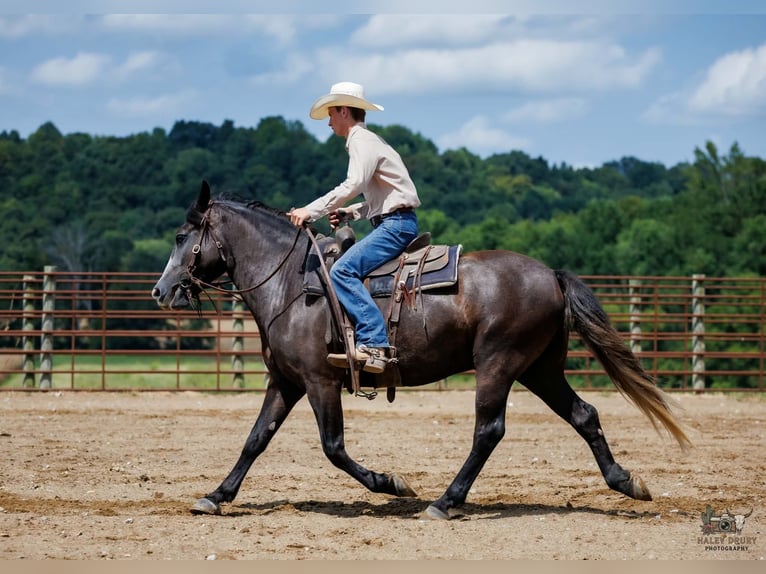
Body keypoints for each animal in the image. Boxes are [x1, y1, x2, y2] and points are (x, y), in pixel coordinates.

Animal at [151, 180, 691, 520]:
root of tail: (550, 275)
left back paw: (445, 502)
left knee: (489, 430)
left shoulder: (320, 381)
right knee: (583, 415)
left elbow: (333, 447)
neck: (289, 283)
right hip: (539, 369)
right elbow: (255, 439)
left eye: (180, 237)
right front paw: (216, 495)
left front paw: (392, 483)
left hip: (499, 364)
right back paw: (625, 481)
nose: (161, 291)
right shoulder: (285, 381)